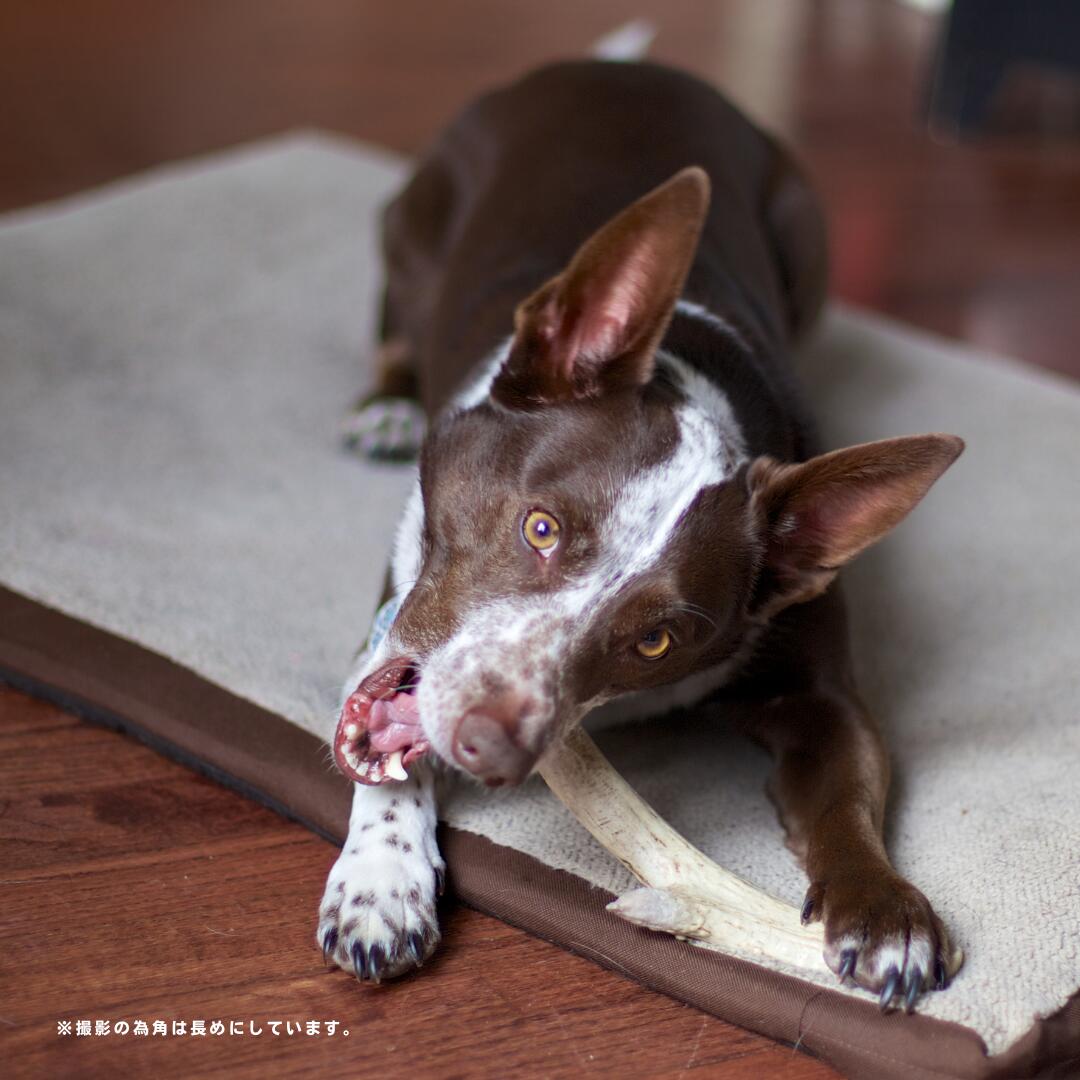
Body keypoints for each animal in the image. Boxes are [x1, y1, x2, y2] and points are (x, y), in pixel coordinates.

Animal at [317, 52, 963, 1010]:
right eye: (540, 527)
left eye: (656, 640)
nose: (487, 744)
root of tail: (617, 63)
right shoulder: (398, 615)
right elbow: (389, 757)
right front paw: (380, 883)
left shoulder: (821, 694)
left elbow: (847, 794)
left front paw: (886, 913)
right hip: (413, 232)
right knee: (396, 328)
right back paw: (387, 405)